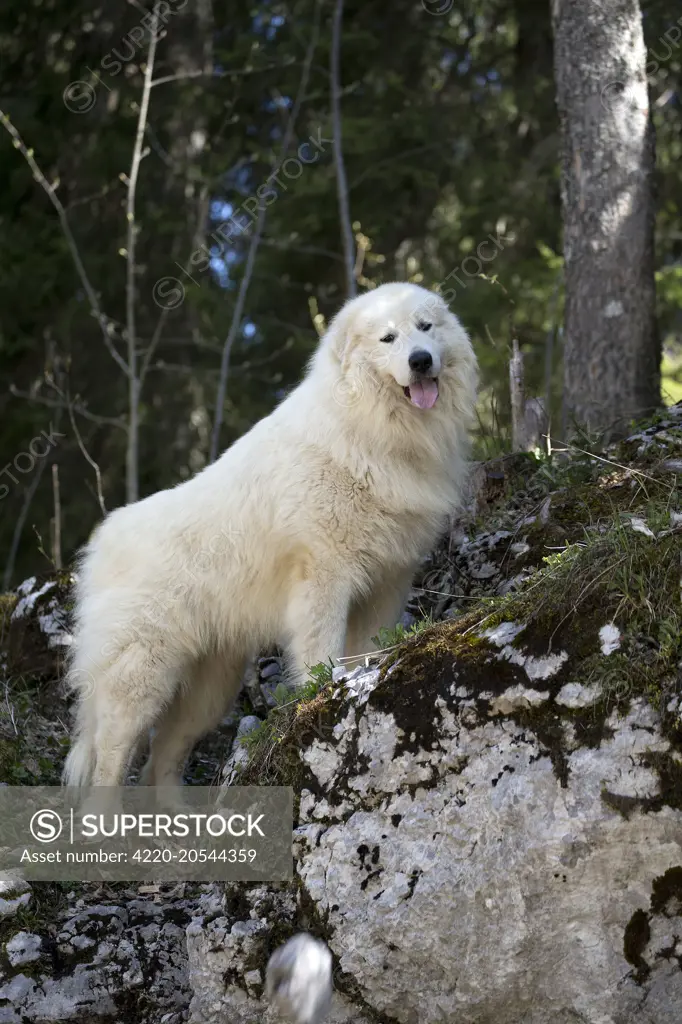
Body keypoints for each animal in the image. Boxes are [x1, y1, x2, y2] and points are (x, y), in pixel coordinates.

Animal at [62, 284, 477, 786]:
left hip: (209, 691)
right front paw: (324, 694)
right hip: (140, 682)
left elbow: (369, 648)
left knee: (159, 766)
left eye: (425, 327)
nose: (420, 360)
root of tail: (100, 545)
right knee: (108, 766)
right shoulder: (323, 576)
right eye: (388, 338)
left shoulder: (388, 582)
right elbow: (322, 651)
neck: (370, 430)